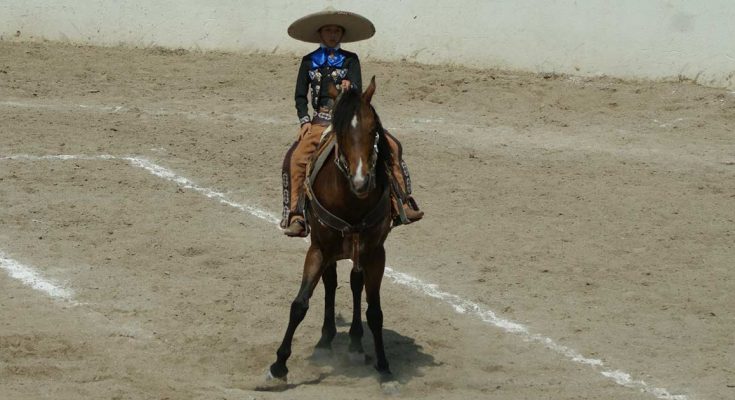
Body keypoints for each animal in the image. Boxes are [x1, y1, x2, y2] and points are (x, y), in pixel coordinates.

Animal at [268, 76, 396, 382]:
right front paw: (278, 366)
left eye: (373, 129)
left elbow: (375, 311)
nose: (361, 181)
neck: (351, 200)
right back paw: (326, 340)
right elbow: (300, 303)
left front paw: (384, 367)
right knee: (331, 281)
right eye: (340, 130)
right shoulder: (319, 248)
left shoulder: (376, 252)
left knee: (355, 282)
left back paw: (355, 343)